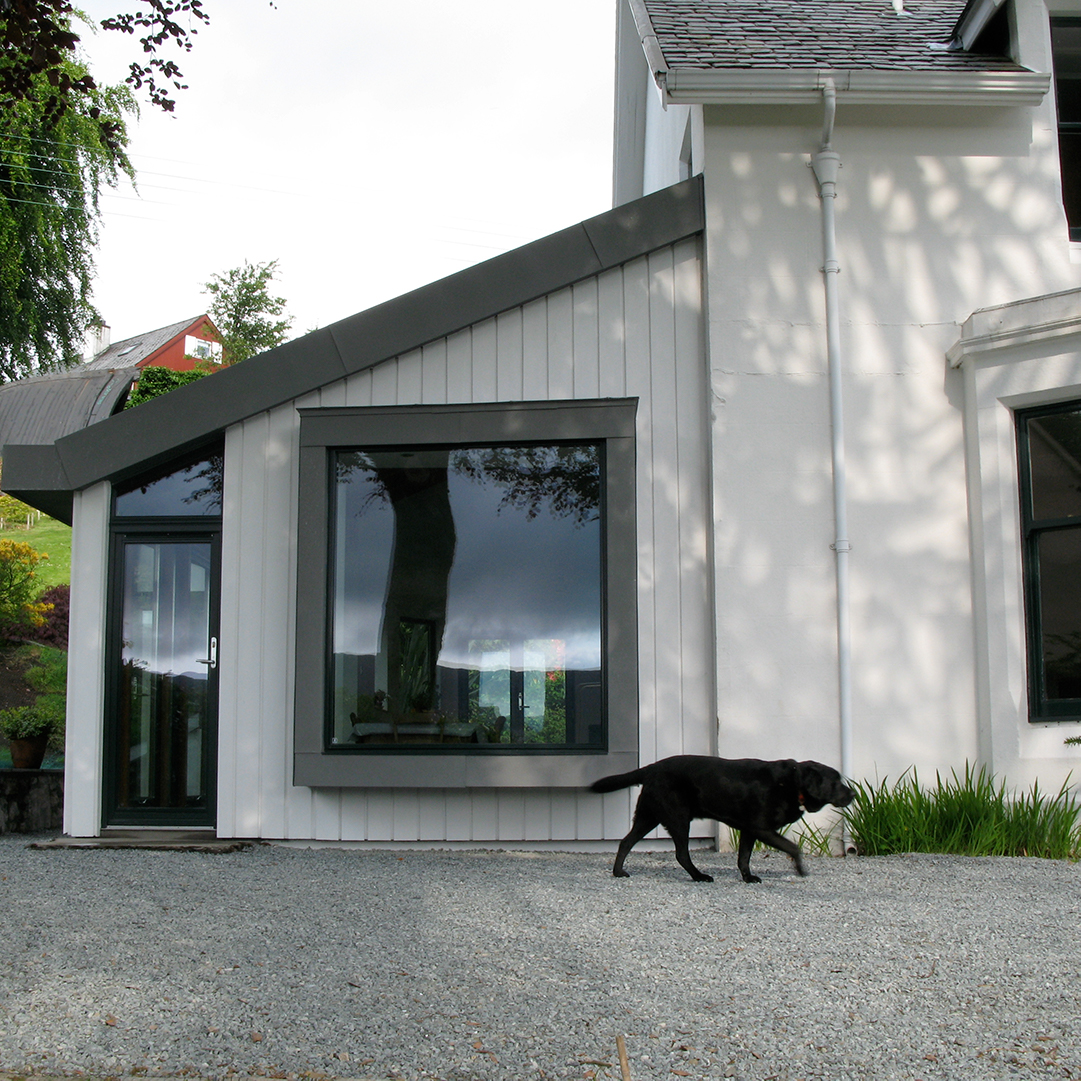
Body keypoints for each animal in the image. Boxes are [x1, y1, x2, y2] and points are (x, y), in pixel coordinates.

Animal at [592, 756, 851, 882]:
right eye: (836, 782)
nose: (854, 794)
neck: (792, 784)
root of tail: (651, 767)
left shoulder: (749, 830)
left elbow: (743, 857)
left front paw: (747, 878)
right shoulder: (762, 828)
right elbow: (793, 847)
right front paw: (801, 869)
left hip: (649, 817)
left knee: (625, 842)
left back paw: (618, 872)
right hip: (678, 818)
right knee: (681, 854)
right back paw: (699, 876)